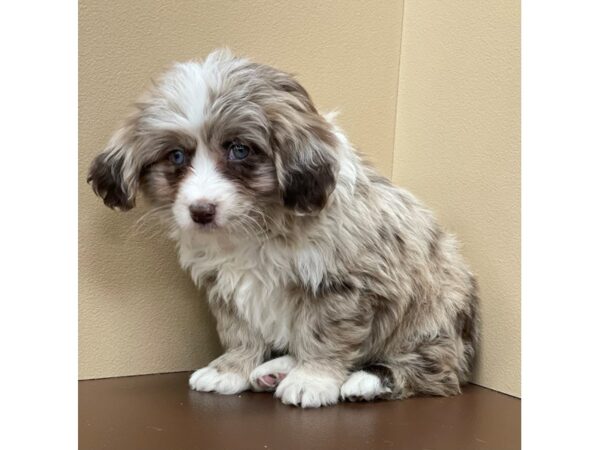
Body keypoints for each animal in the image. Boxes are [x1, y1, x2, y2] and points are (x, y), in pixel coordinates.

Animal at [89, 49, 480, 408]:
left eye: (239, 150)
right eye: (176, 157)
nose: (201, 211)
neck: (258, 224)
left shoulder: (344, 285)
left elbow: (325, 334)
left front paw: (313, 379)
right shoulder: (226, 286)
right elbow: (240, 331)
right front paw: (232, 369)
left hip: (434, 317)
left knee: (435, 371)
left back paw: (363, 380)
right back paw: (275, 369)